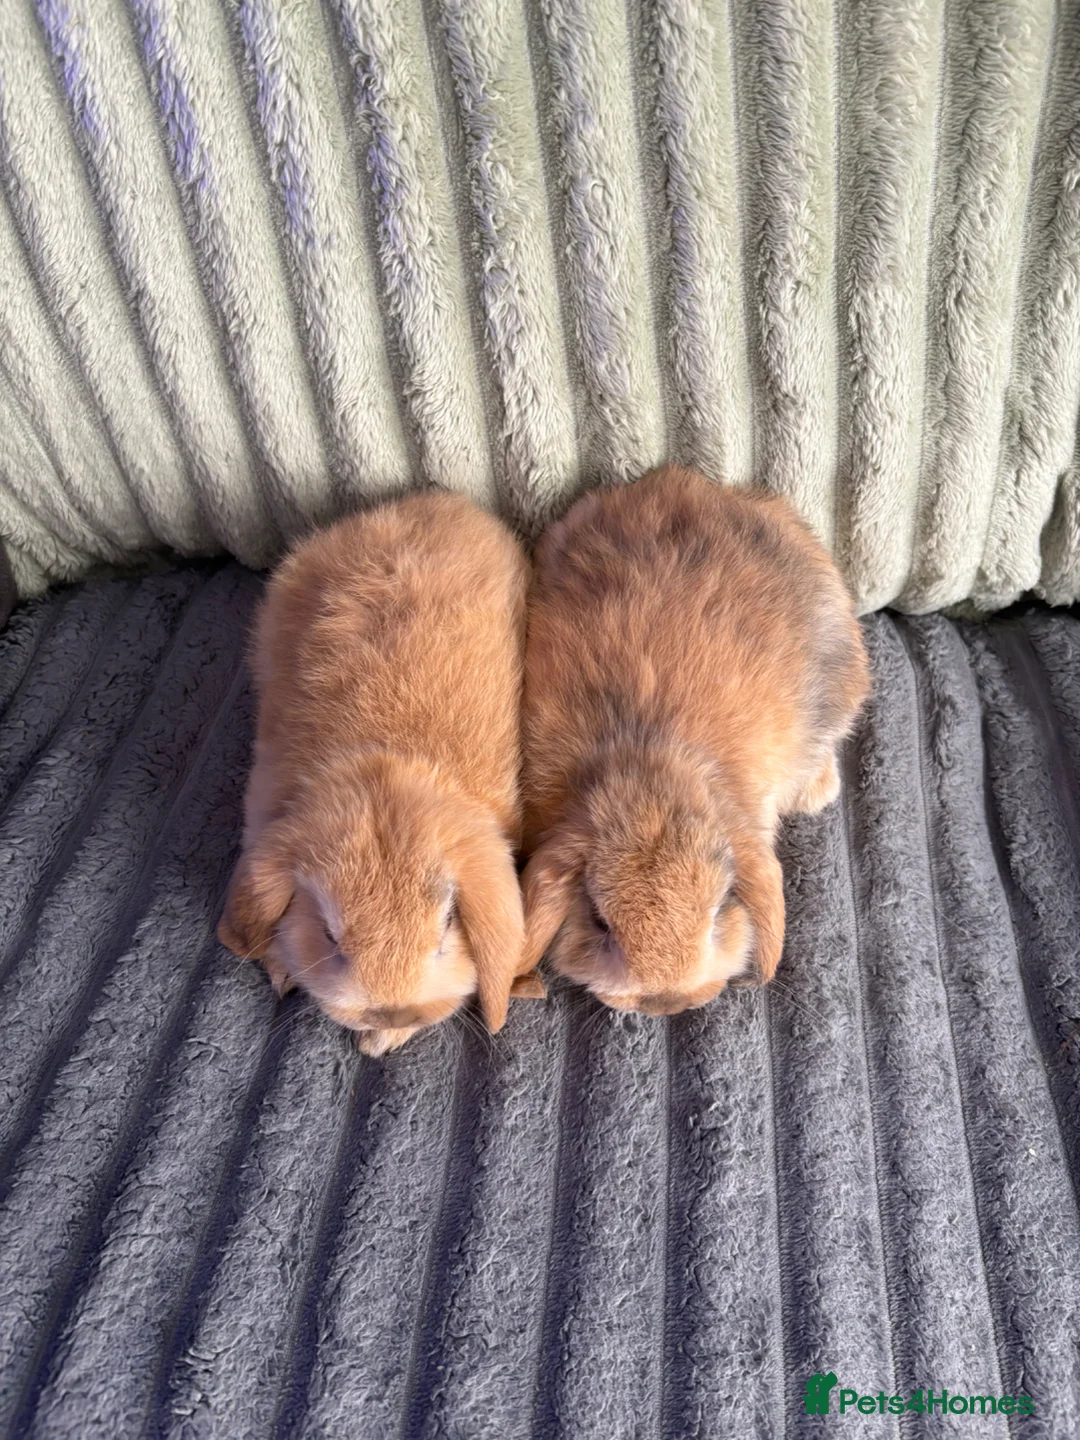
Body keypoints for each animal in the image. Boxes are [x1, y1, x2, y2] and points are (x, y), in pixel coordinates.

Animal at [217, 492, 532, 1056]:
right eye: (329, 935)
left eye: (446, 928)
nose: (388, 1007)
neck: (384, 769)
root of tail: (424, 501)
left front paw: (380, 1041)